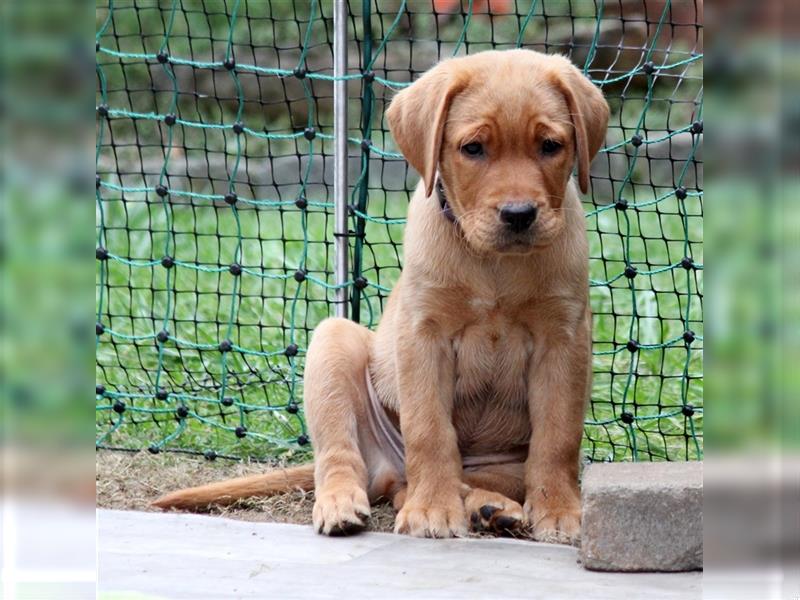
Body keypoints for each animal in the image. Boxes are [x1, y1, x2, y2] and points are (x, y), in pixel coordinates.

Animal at [155, 48, 608, 544]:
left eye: (550, 145)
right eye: (473, 149)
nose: (519, 214)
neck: (494, 266)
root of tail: (387, 468)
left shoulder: (563, 338)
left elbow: (558, 437)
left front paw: (559, 511)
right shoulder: (423, 334)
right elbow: (429, 430)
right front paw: (433, 511)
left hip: (501, 463)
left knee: (433, 484)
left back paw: (491, 507)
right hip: (334, 345)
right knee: (346, 460)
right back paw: (346, 504)